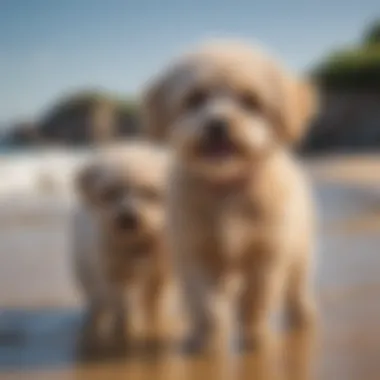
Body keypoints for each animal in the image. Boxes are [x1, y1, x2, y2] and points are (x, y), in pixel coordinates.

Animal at [72, 142, 169, 354]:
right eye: (110, 193)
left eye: (150, 193)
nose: (127, 218)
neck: (135, 244)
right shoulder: (112, 269)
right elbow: (120, 300)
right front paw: (124, 329)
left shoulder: (159, 269)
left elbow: (153, 297)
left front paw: (154, 326)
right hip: (84, 266)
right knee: (96, 295)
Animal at [142, 40, 318, 350]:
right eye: (195, 98)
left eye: (251, 100)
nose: (217, 124)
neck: (226, 187)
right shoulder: (195, 252)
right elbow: (206, 303)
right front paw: (207, 339)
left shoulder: (266, 254)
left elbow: (255, 300)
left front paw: (256, 337)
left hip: (300, 249)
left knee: (296, 286)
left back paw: (302, 315)